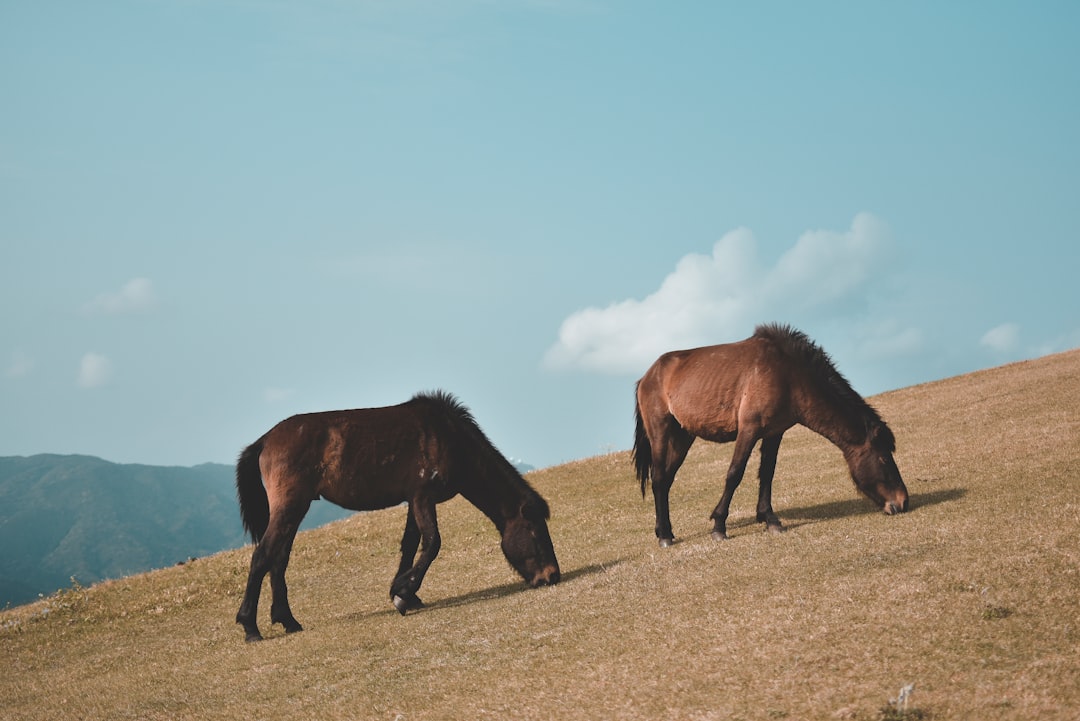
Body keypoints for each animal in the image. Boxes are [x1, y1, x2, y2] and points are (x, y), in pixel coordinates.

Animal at [234, 388, 557, 643]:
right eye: (535, 531)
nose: (552, 575)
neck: (450, 439)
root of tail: (265, 440)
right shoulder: (423, 496)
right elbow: (432, 543)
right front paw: (403, 593)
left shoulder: (414, 500)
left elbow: (411, 545)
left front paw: (405, 592)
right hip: (290, 506)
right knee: (262, 557)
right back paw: (250, 626)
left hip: (295, 509)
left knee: (278, 559)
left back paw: (288, 620)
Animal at [635, 321, 907, 546]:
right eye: (884, 458)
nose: (902, 502)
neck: (788, 374)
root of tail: (647, 376)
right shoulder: (749, 429)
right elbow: (734, 474)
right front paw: (719, 525)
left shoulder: (774, 433)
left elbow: (767, 474)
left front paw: (770, 519)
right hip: (661, 432)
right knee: (658, 478)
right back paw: (665, 535)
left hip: (683, 438)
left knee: (666, 480)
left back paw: (664, 531)